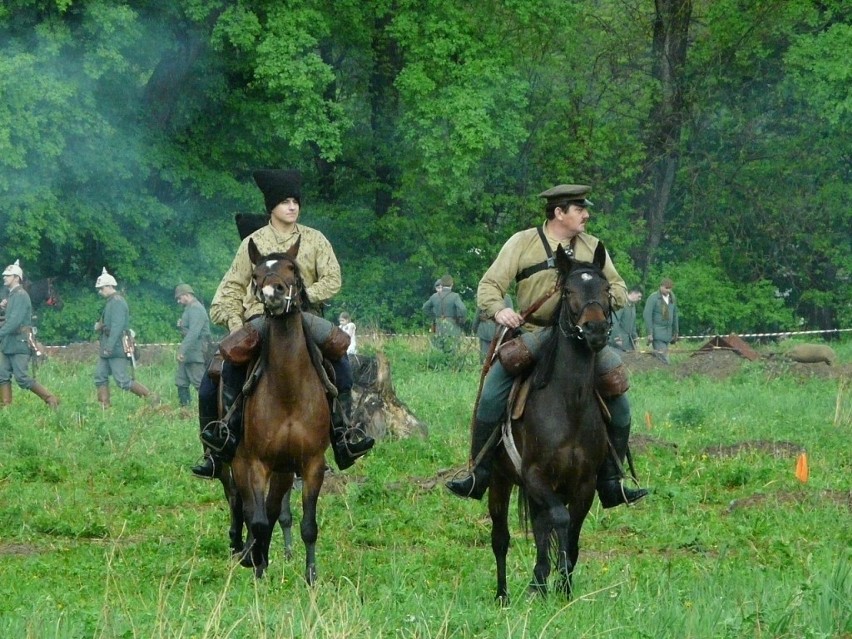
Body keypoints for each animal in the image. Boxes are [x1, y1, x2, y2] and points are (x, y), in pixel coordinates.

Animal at [228, 238, 332, 584]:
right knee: (248, 509)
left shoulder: (311, 464)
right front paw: (258, 570)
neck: (288, 393)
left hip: (285, 471)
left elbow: (308, 525)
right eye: (256, 273)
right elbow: (257, 519)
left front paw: (311, 577)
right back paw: (250, 554)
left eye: (291, 268)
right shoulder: (256, 464)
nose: (272, 293)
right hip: (241, 463)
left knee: (273, 510)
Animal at [486, 242, 612, 604]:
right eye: (568, 291)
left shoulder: (584, 485)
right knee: (501, 538)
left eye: (607, 289)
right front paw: (542, 581)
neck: (568, 406)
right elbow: (558, 519)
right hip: (498, 481)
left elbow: (571, 533)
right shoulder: (536, 477)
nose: (596, 331)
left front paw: (563, 587)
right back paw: (504, 595)